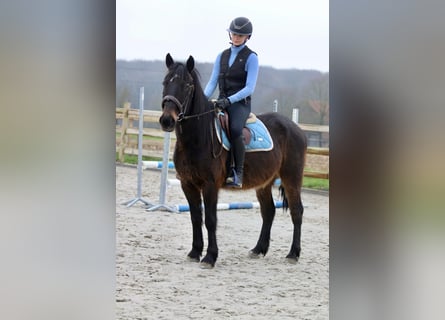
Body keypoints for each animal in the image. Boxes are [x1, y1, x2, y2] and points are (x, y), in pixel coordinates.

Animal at [160, 53, 308, 268]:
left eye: (187, 85)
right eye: (165, 82)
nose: (166, 120)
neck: (198, 137)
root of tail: (296, 128)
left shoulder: (210, 185)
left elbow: (210, 219)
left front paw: (210, 257)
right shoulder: (188, 184)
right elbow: (195, 217)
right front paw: (195, 252)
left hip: (292, 178)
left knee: (297, 211)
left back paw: (293, 254)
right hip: (264, 183)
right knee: (269, 212)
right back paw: (258, 249)